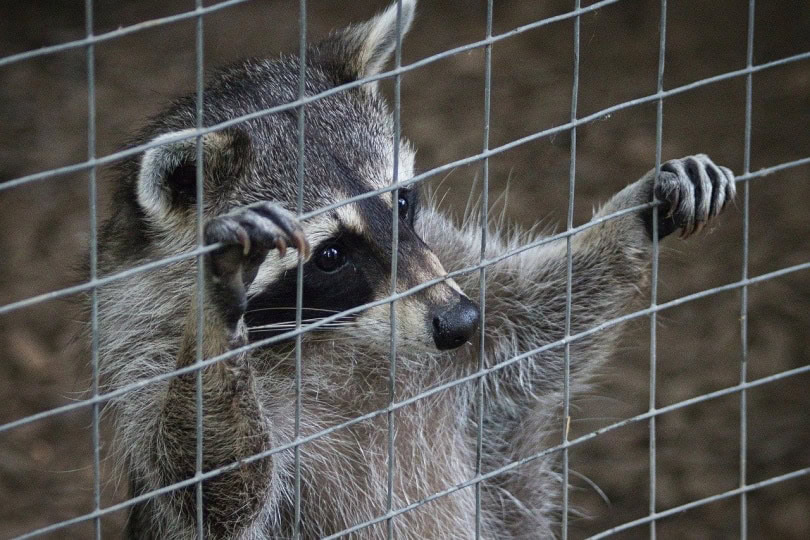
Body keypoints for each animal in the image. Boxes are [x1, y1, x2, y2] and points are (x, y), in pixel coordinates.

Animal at [96, 1, 736, 538]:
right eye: (330, 255)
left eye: (402, 202)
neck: (338, 334)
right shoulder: (142, 352)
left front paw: (633, 215)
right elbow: (214, 489)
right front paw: (214, 316)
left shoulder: (446, 268)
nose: (459, 322)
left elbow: (542, 321)